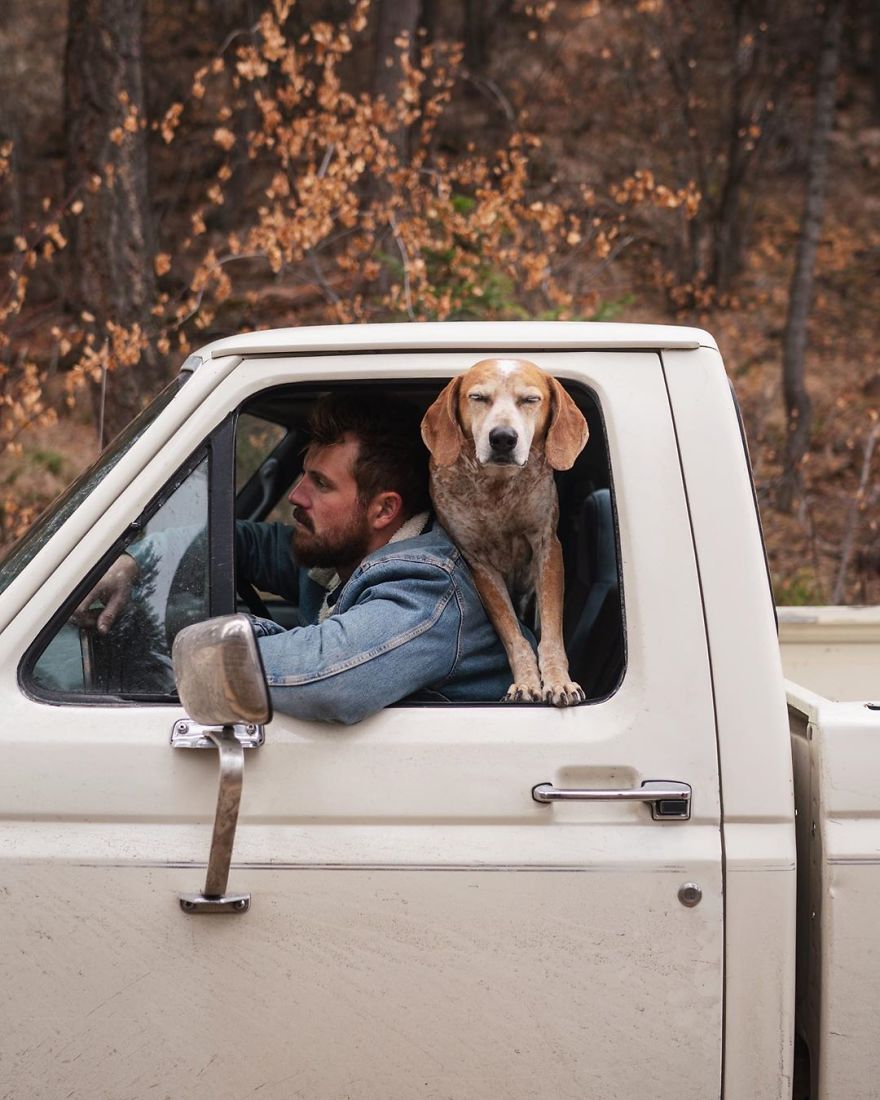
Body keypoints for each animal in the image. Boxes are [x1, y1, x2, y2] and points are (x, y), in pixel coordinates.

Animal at [420, 356, 589, 708]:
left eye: (530, 400)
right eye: (478, 397)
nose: (502, 437)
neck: (497, 488)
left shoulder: (547, 548)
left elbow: (550, 634)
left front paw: (558, 681)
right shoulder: (478, 563)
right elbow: (513, 634)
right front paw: (526, 682)